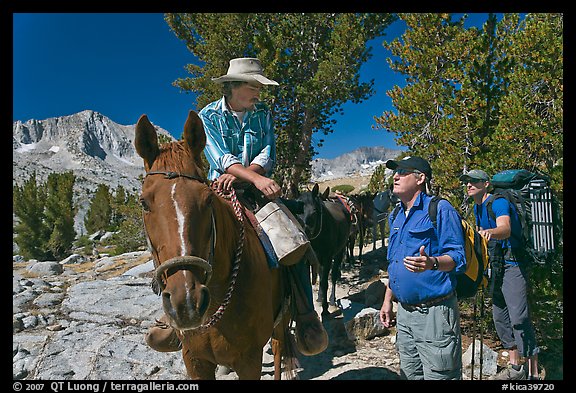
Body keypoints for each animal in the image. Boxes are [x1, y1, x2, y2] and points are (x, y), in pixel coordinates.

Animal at [134, 110, 292, 380]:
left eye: (208, 199)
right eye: (144, 202)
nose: (186, 303)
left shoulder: (250, 360)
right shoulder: (194, 360)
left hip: (281, 318)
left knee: (279, 348)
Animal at [296, 184, 352, 316]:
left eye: (314, 212)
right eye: (297, 212)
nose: (304, 233)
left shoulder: (327, 259)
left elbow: (324, 283)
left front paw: (325, 310)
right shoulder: (310, 260)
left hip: (339, 252)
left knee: (333, 275)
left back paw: (331, 300)